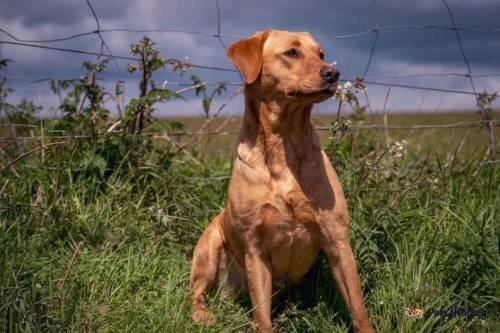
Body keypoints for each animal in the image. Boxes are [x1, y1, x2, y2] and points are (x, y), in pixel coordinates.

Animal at [189, 29, 374, 332]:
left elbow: (357, 306)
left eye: (320, 54)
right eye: (292, 52)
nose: (333, 73)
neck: (283, 142)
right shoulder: (255, 249)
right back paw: (202, 314)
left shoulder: (337, 240)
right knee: (195, 291)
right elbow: (262, 314)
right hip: (210, 248)